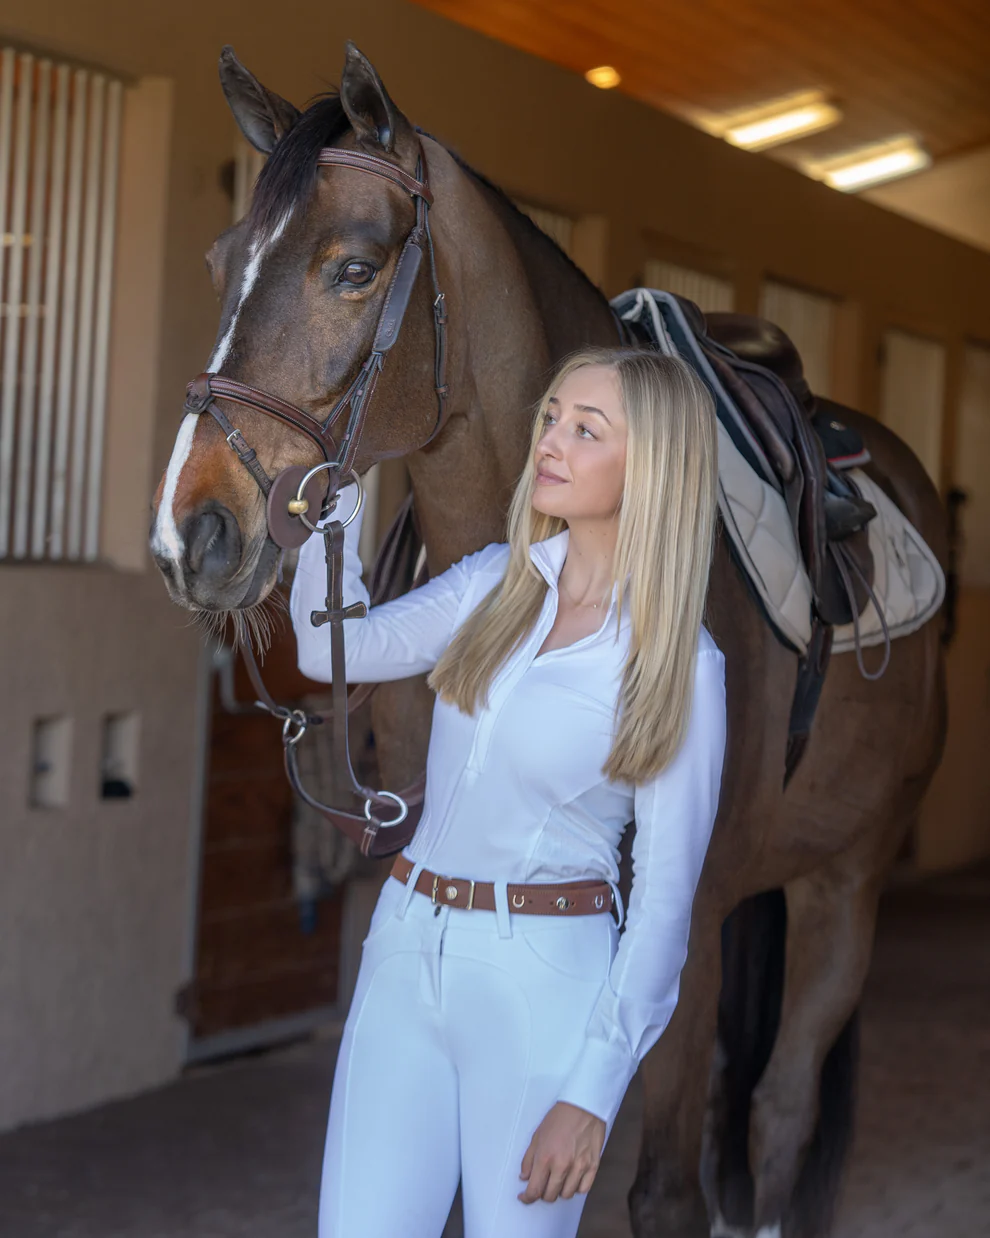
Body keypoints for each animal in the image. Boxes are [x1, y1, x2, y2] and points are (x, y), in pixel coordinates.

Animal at [150, 42, 948, 1238]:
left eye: (354, 268)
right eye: (218, 263)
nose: (189, 534)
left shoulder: (683, 916)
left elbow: (663, 1190)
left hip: (843, 883)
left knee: (780, 1112)